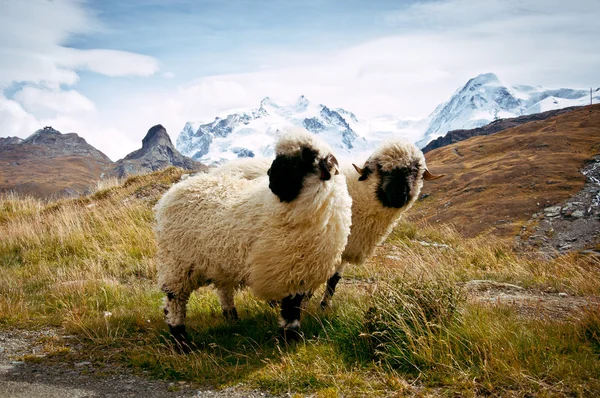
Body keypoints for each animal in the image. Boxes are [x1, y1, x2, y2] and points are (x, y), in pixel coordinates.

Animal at [155, 129, 354, 346]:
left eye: (300, 160)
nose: (270, 178)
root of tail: (172, 192)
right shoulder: (285, 272)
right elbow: (289, 310)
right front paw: (288, 339)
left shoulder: (300, 272)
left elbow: (294, 309)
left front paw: (292, 338)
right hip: (178, 263)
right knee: (174, 301)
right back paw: (181, 341)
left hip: (216, 262)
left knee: (222, 290)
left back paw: (231, 318)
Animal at [212, 138, 446, 310]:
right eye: (382, 169)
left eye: (415, 171)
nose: (399, 196)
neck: (361, 196)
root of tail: (217, 170)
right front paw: (307, 302)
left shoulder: (342, 248)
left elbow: (334, 280)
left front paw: (323, 305)